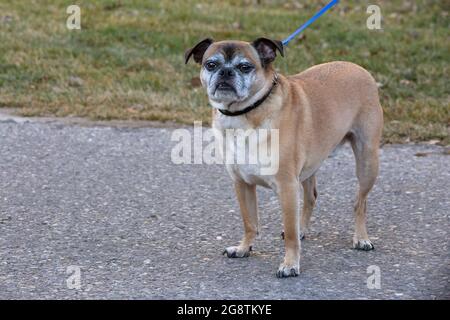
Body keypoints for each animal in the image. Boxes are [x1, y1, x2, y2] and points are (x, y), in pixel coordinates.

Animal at [185, 38, 384, 278]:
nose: (225, 72)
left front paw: (290, 264)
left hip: (367, 162)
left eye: (245, 67)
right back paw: (303, 229)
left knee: (359, 203)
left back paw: (361, 238)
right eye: (211, 65)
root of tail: (358, 68)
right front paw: (243, 248)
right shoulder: (242, 184)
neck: (245, 113)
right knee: (311, 197)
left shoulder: (287, 187)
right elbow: (249, 222)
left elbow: (289, 232)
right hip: (310, 167)